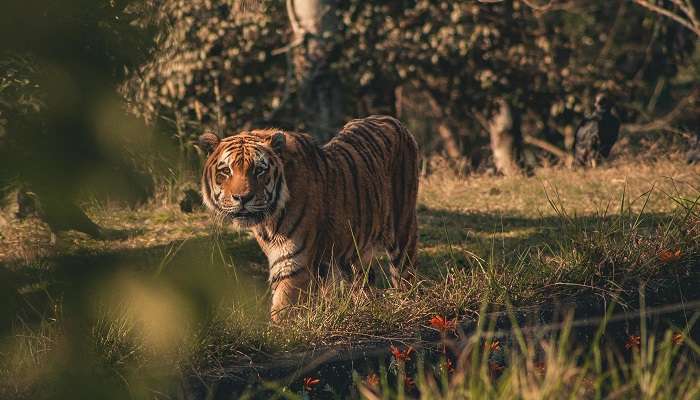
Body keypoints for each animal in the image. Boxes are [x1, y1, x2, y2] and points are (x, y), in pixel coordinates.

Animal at [201, 114, 422, 320]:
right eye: (226, 170)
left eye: (259, 170)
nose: (242, 198)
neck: (268, 222)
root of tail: (391, 119)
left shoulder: (294, 263)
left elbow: (283, 309)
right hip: (356, 250)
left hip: (402, 230)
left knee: (405, 275)